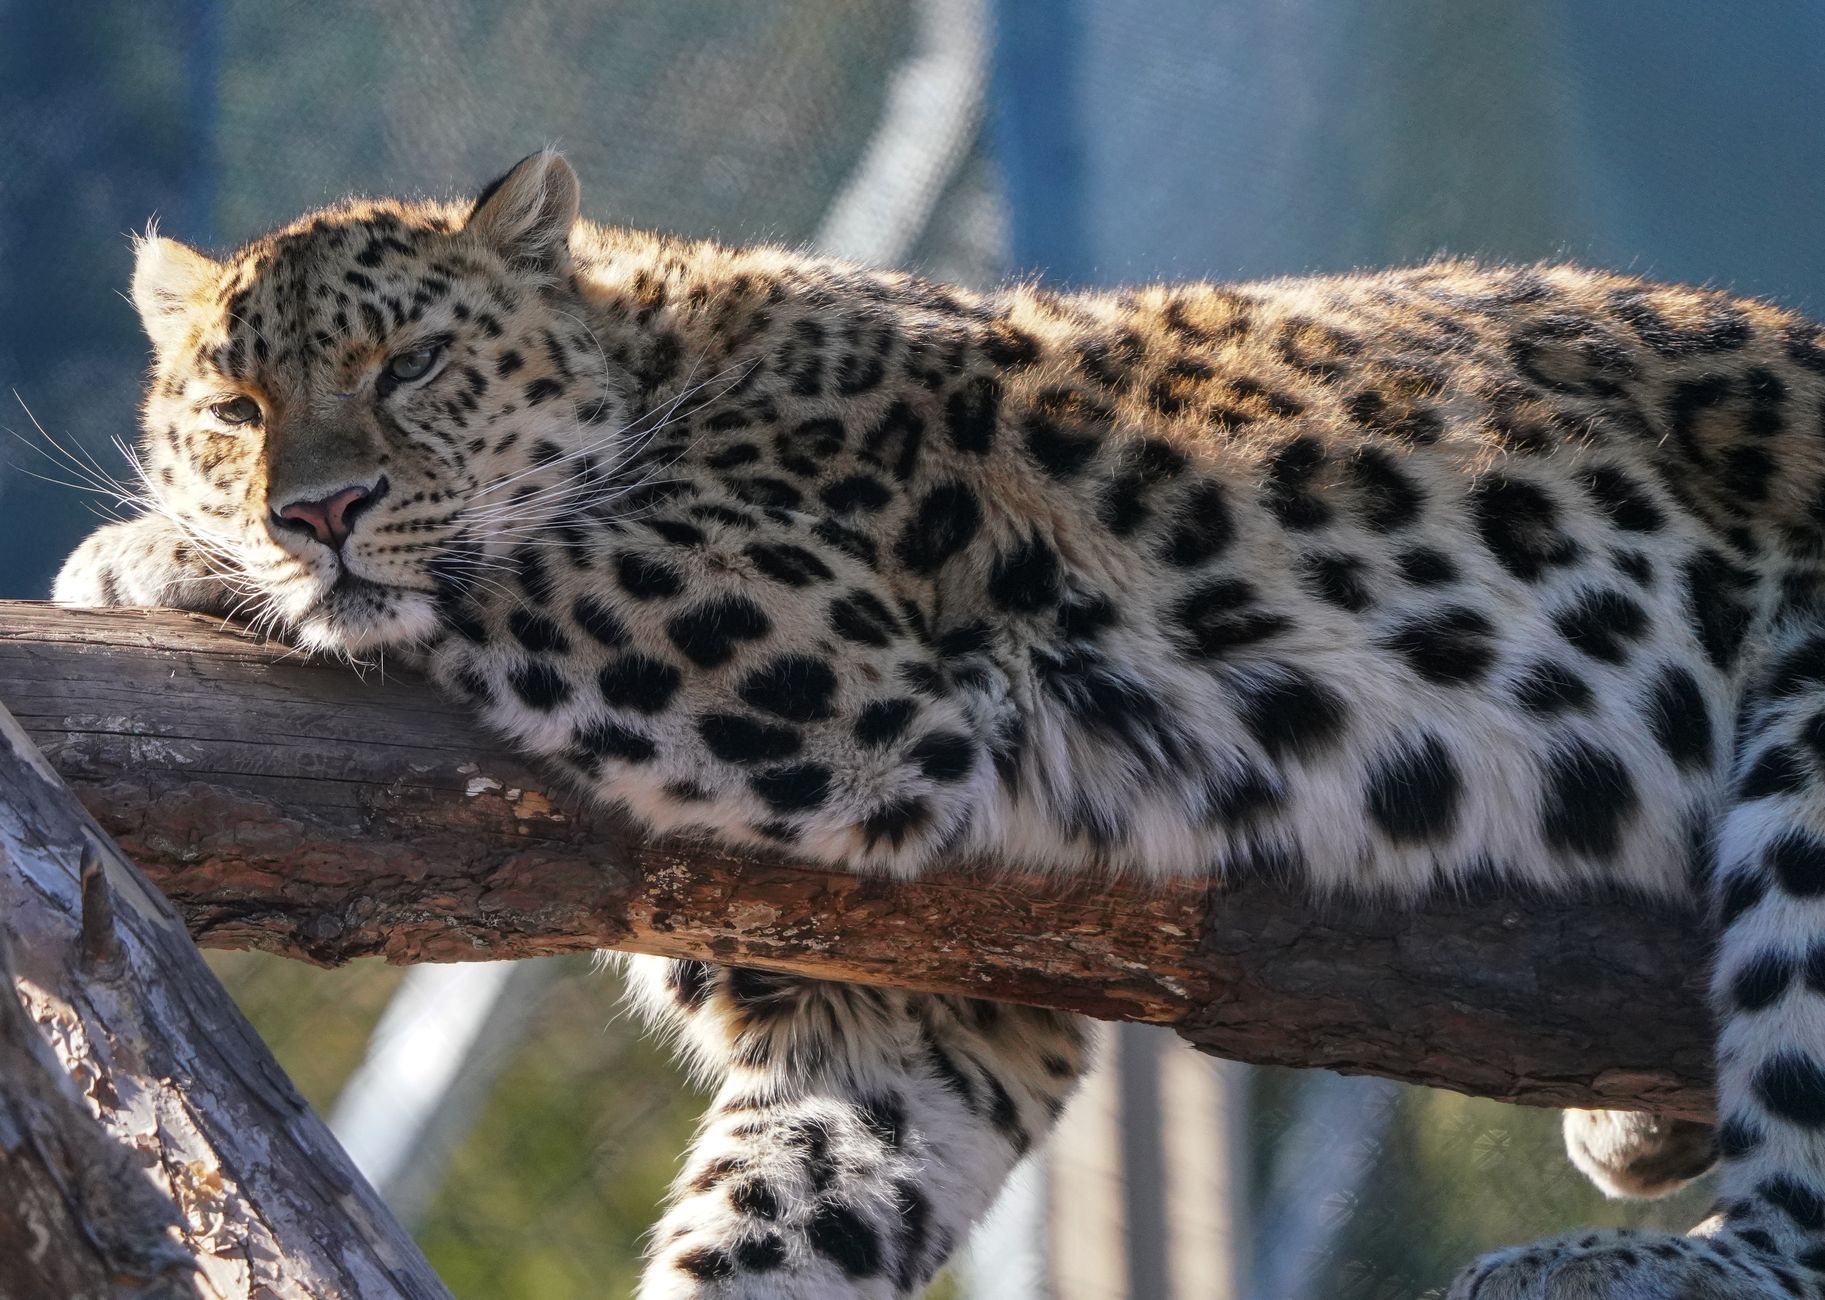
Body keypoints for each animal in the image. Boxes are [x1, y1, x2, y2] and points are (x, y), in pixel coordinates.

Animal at [49, 149, 1825, 1298]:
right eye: (235, 408)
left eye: (411, 363)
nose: (315, 510)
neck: (662, 344)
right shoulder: (898, 1020)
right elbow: (780, 1214)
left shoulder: (811, 645)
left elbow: (512, 554)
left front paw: (150, 553)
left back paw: (1605, 1264)